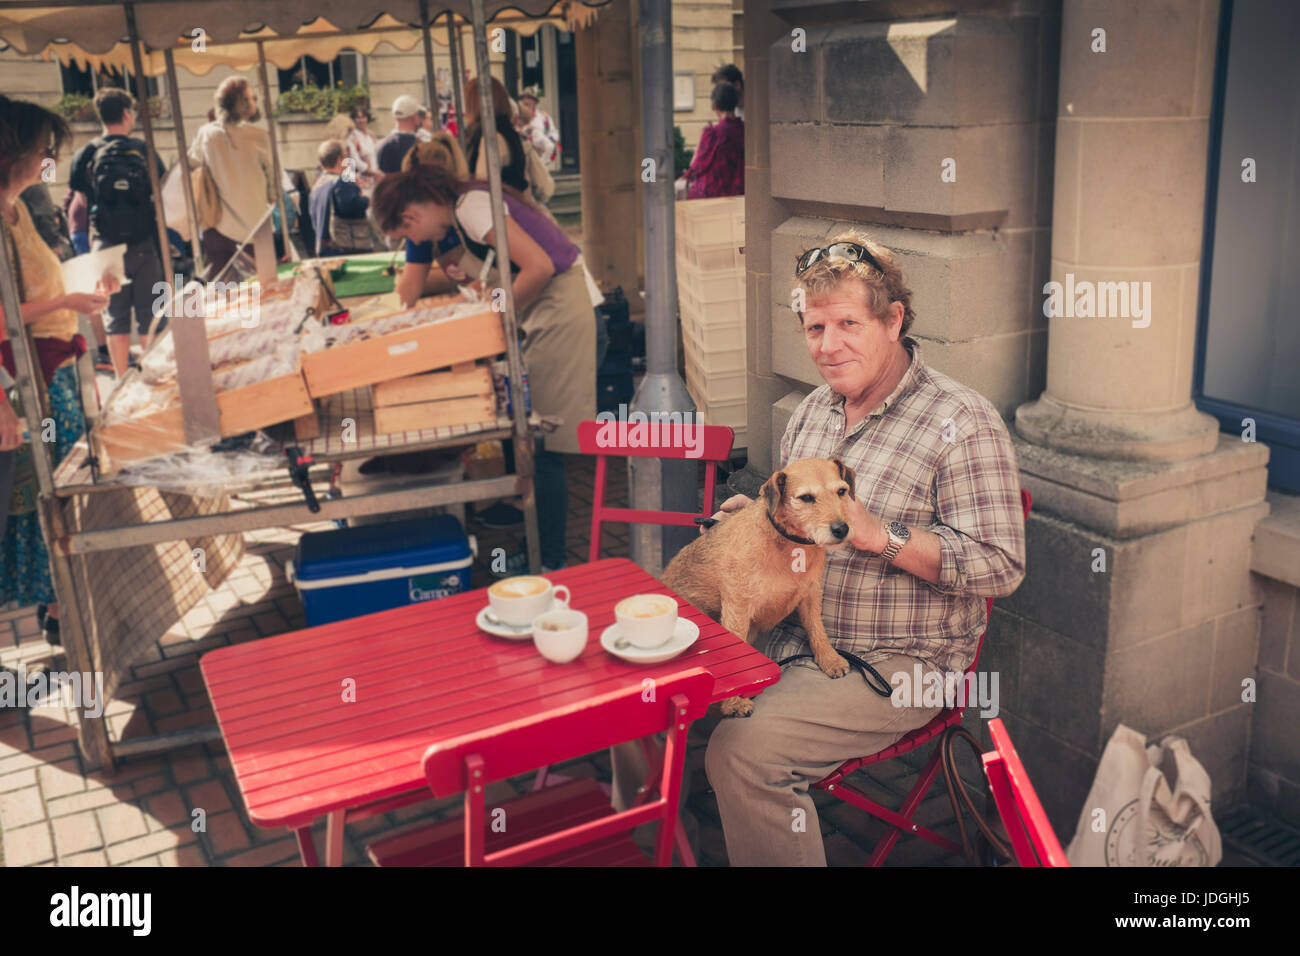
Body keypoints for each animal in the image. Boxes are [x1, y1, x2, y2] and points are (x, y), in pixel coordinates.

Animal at [665, 457, 857, 717]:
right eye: (806, 497)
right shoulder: (737, 608)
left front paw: (829, 659)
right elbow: (735, 655)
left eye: (841, 491)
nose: (841, 529)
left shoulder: (810, 595)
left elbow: (817, 629)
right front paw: (734, 702)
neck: (788, 545)